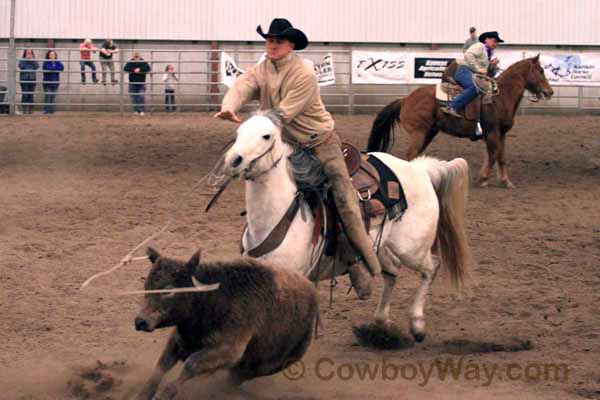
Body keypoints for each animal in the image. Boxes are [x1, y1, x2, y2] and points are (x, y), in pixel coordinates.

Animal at [223, 111, 472, 342]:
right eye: (238, 132)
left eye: (266, 136)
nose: (234, 160)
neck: (276, 216)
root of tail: (420, 170)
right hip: (379, 248)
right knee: (392, 273)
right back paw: (381, 324)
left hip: (411, 248)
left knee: (431, 267)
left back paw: (417, 325)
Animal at [368, 55, 556, 188]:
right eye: (540, 71)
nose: (549, 92)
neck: (501, 97)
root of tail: (405, 99)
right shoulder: (492, 131)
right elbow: (493, 154)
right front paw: (483, 179)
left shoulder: (501, 133)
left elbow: (501, 156)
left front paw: (505, 181)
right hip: (419, 132)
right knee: (411, 154)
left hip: (428, 132)